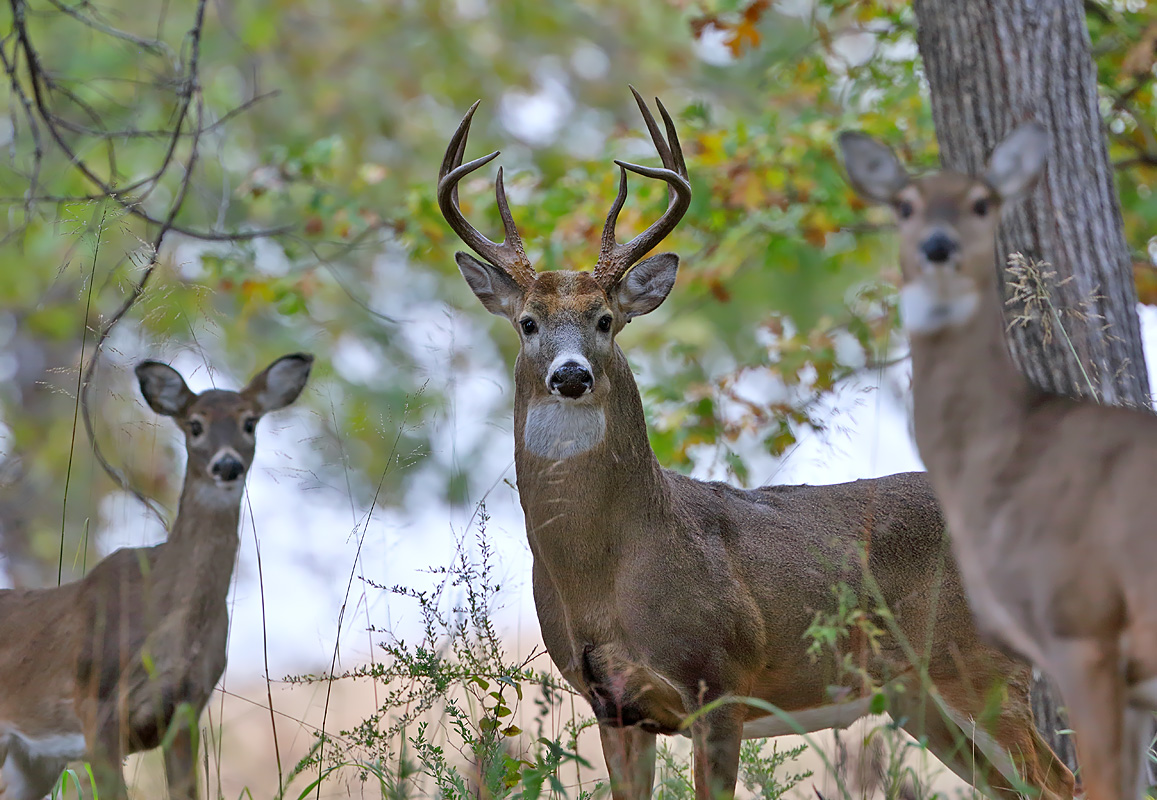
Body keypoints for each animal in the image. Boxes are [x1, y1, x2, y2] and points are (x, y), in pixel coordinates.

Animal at [0, 354, 312, 800]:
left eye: (249, 422)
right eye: (195, 424)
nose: (227, 465)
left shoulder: (186, 711)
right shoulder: (96, 708)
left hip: (32, 760)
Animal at [435, 87, 1073, 800]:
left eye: (604, 319)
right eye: (527, 323)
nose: (570, 375)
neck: (607, 571)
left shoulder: (721, 682)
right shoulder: (613, 705)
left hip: (985, 670)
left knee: (1066, 782)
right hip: (921, 700)